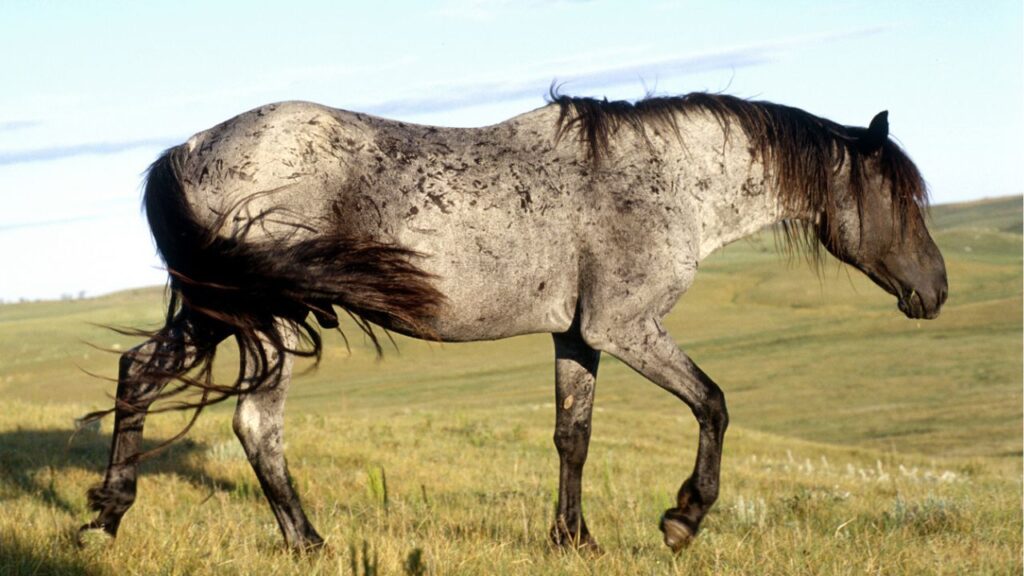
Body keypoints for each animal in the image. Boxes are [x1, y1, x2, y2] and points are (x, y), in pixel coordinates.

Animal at [78, 90, 947, 553]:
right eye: (902, 198)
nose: (936, 292)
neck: (665, 180)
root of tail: (186, 150)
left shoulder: (577, 336)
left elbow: (573, 436)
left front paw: (575, 538)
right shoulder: (627, 330)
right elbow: (714, 403)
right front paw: (682, 518)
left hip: (224, 312)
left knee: (141, 375)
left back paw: (108, 516)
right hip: (267, 321)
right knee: (256, 424)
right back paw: (309, 543)